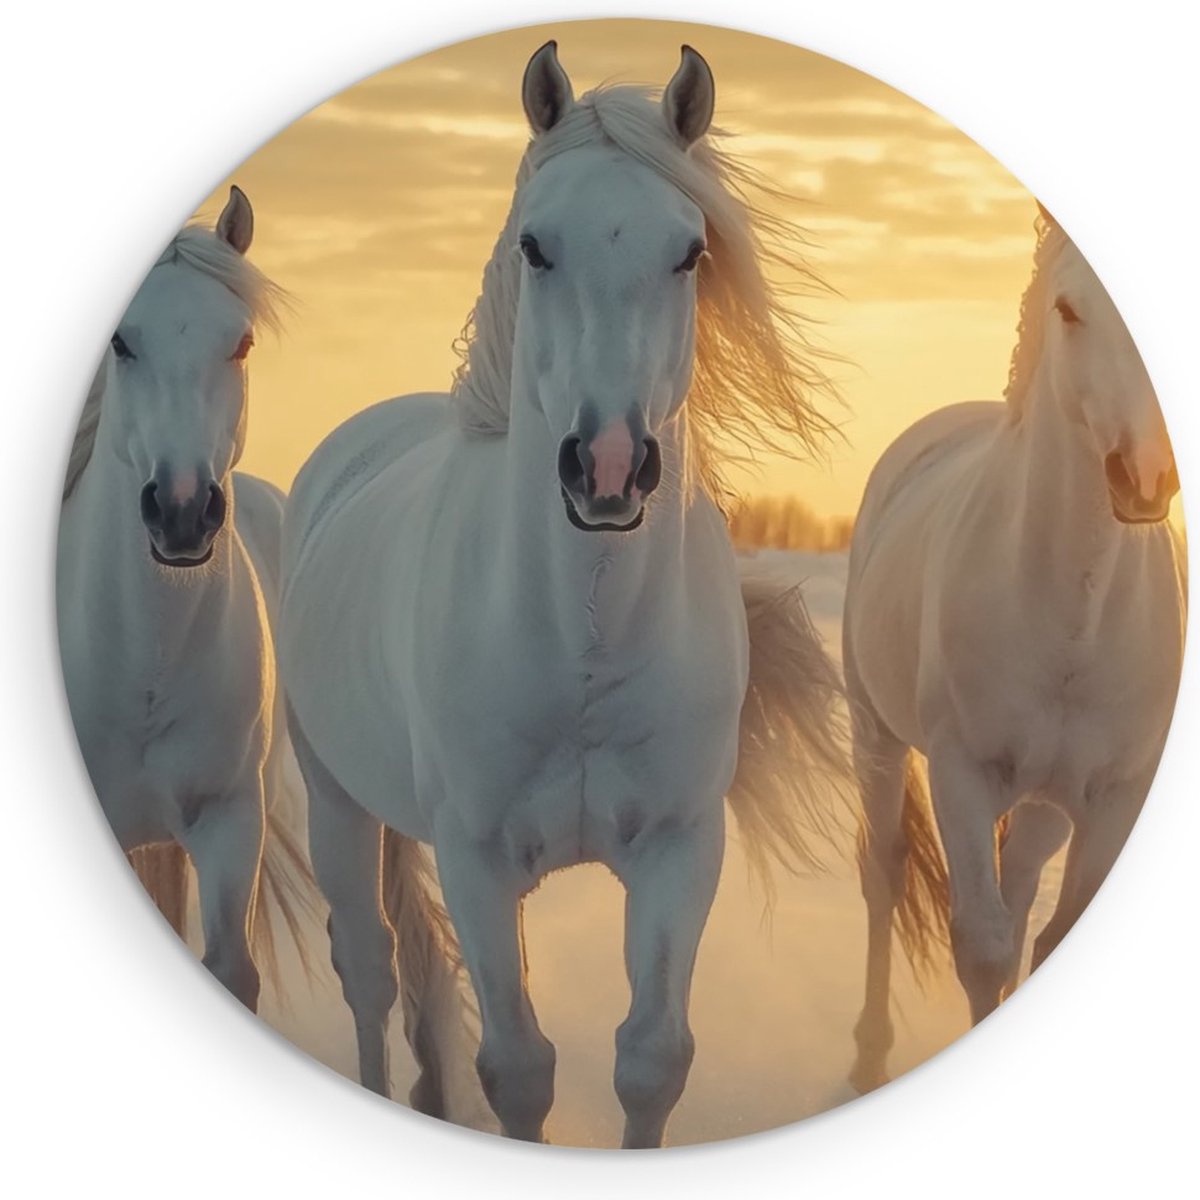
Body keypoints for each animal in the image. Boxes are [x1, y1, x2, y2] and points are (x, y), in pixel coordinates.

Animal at [278, 42, 850, 1146]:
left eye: (689, 253)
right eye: (536, 246)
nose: (610, 468)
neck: (584, 644)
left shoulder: (680, 849)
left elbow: (650, 1058)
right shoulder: (476, 860)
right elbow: (518, 1067)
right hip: (337, 803)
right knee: (368, 973)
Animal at [843, 204, 1187, 1092]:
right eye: (1069, 311)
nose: (1144, 477)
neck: (1074, 614)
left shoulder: (1113, 800)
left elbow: (1047, 935)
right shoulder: (964, 775)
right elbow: (986, 950)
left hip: (1043, 806)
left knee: (1022, 882)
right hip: (878, 740)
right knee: (884, 877)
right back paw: (868, 1051)